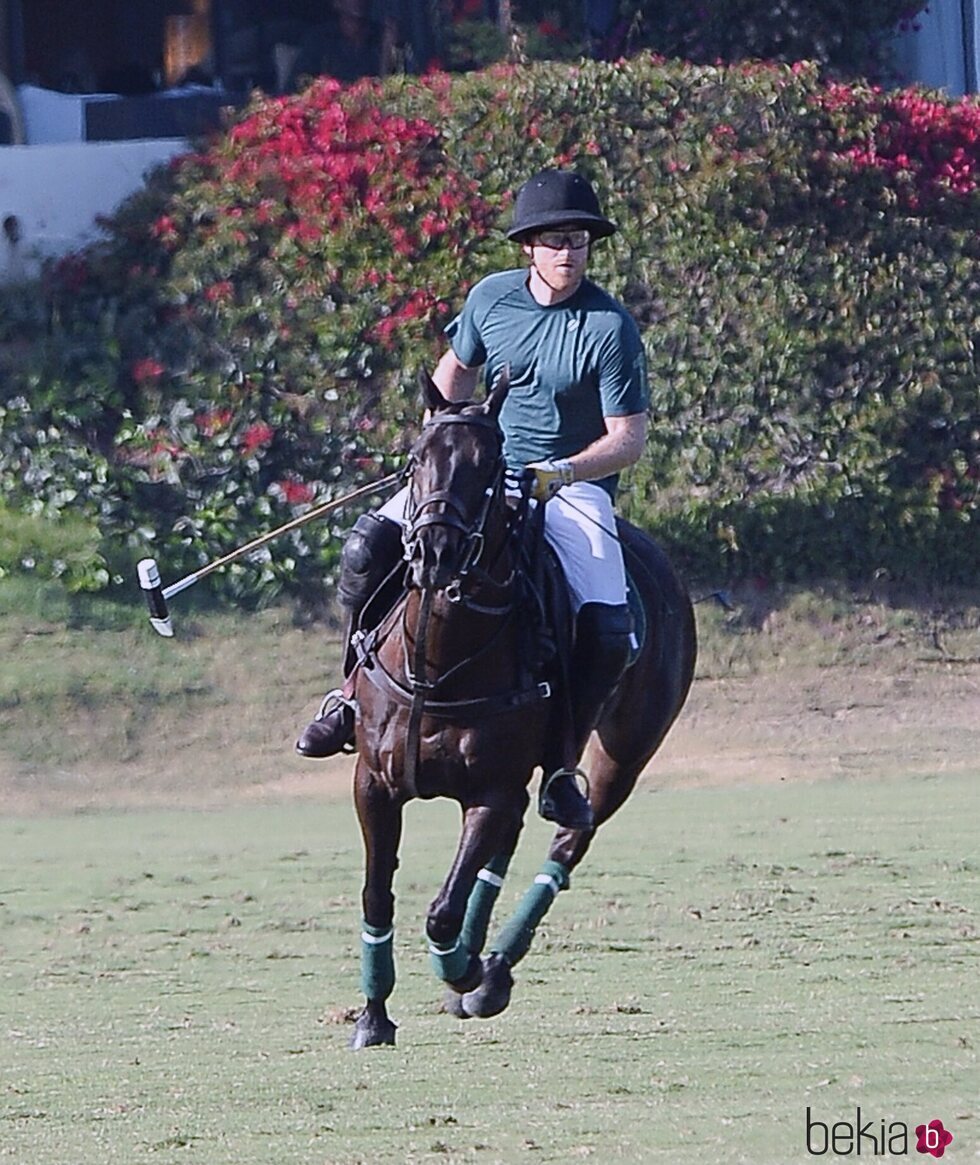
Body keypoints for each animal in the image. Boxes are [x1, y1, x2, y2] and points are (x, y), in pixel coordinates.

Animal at [344, 372, 694, 1048]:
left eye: (489, 468)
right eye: (416, 459)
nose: (435, 551)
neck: (439, 664)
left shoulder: (492, 790)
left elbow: (441, 911)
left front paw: (461, 968)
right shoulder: (374, 783)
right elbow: (377, 893)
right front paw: (373, 1016)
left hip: (623, 753)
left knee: (568, 837)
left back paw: (491, 971)